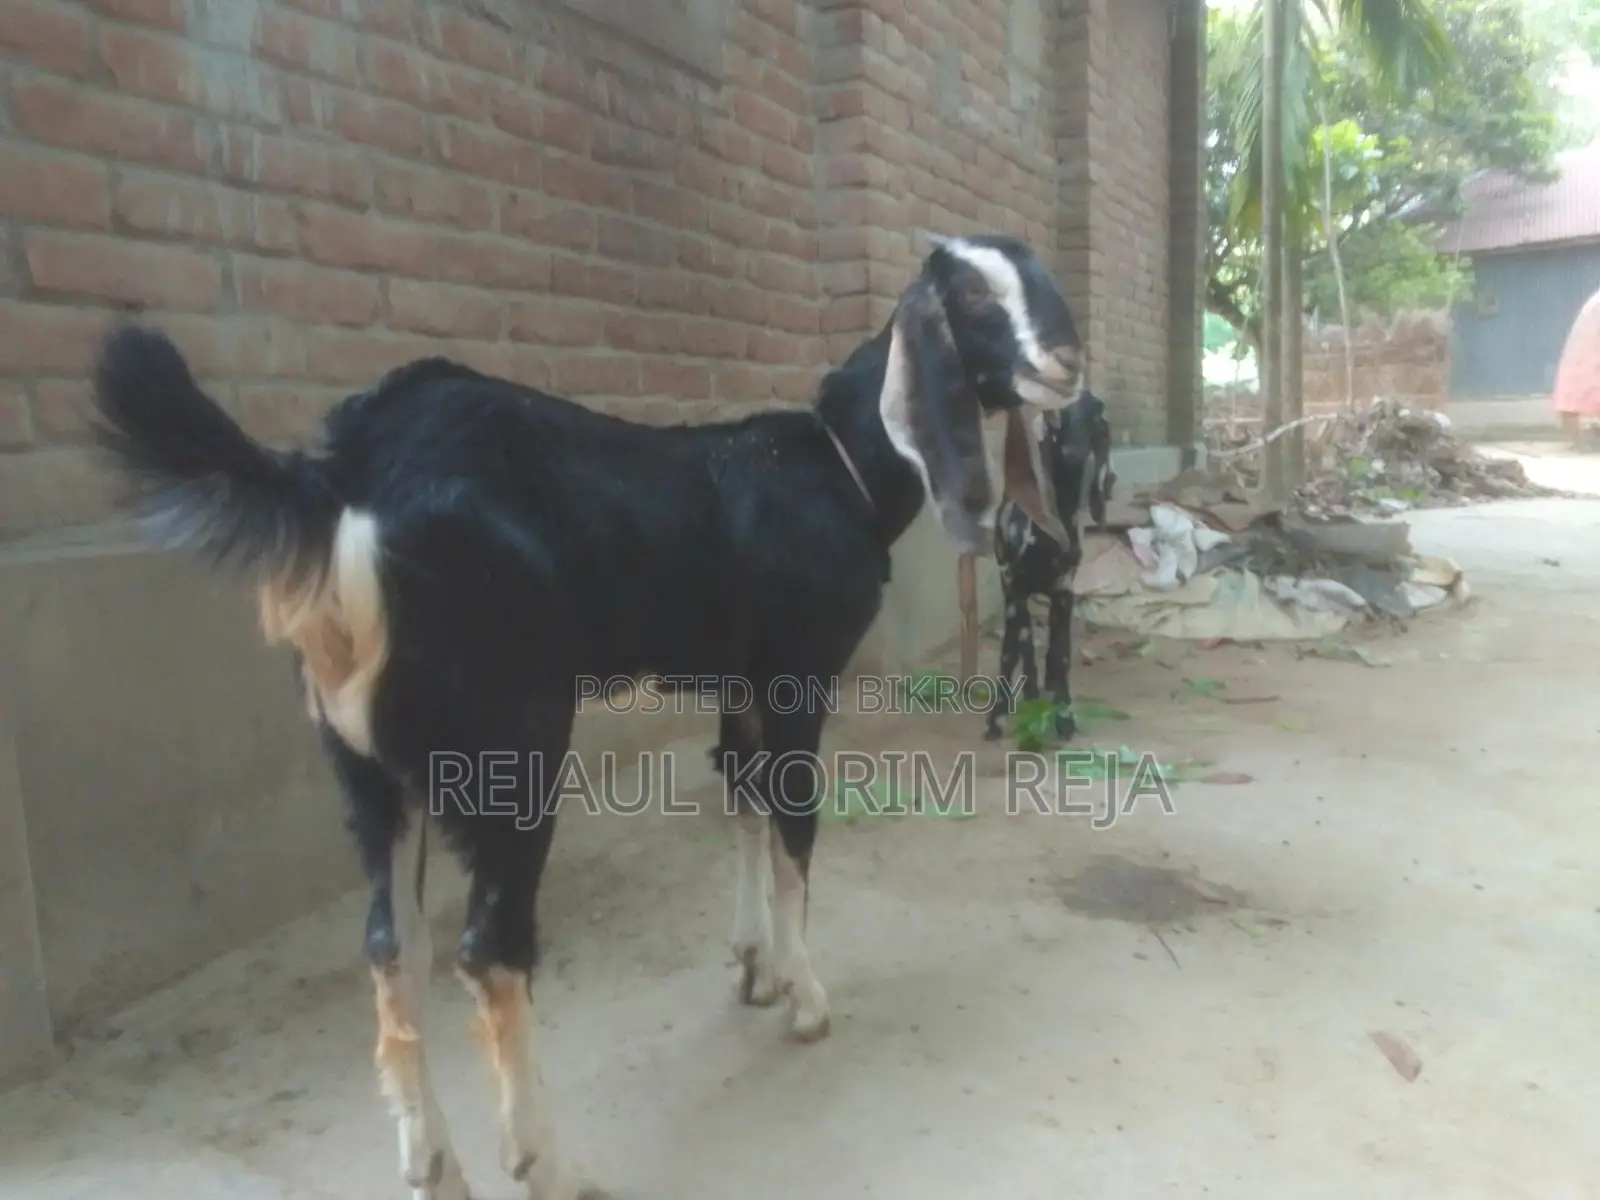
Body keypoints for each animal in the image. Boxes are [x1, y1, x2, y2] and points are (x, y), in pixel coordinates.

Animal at [87, 234, 1088, 1200]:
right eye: (970, 296)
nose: (1067, 362)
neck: (836, 466)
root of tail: (342, 477)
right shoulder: (795, 682)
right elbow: (795, 832)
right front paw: (806, 996)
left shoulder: (737, 687)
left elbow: (744, 809)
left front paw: (754, 966)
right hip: (511, 744)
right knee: (490, 948)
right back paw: (548, 1166)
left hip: (368, 766)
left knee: (391, 945)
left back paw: (434, 1167)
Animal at [984, 389, 1114, 742]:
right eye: (1057, 414)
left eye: (1096, 414)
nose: (1073, 451)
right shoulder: (1014, 584)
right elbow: (1010, 650)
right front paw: (995, 719)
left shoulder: (1063, 589)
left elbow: (1061, 654)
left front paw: (1064, 716)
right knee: (1023, 639)